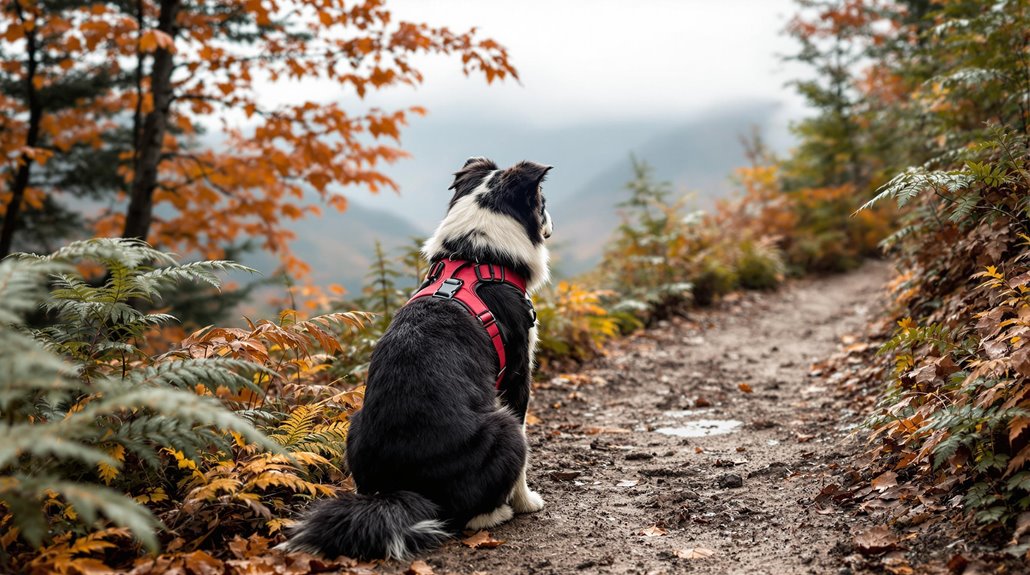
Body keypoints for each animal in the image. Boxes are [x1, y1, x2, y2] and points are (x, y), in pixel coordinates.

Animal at [282, 158, 556, 564]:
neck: (477, 255)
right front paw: (526, 502)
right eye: (543, 201)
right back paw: (498, 512)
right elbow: (525, 449)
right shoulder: (517, 376)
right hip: (502, 428)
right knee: (465, 514)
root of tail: (404, 490)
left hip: (354, 425)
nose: (551, 220)